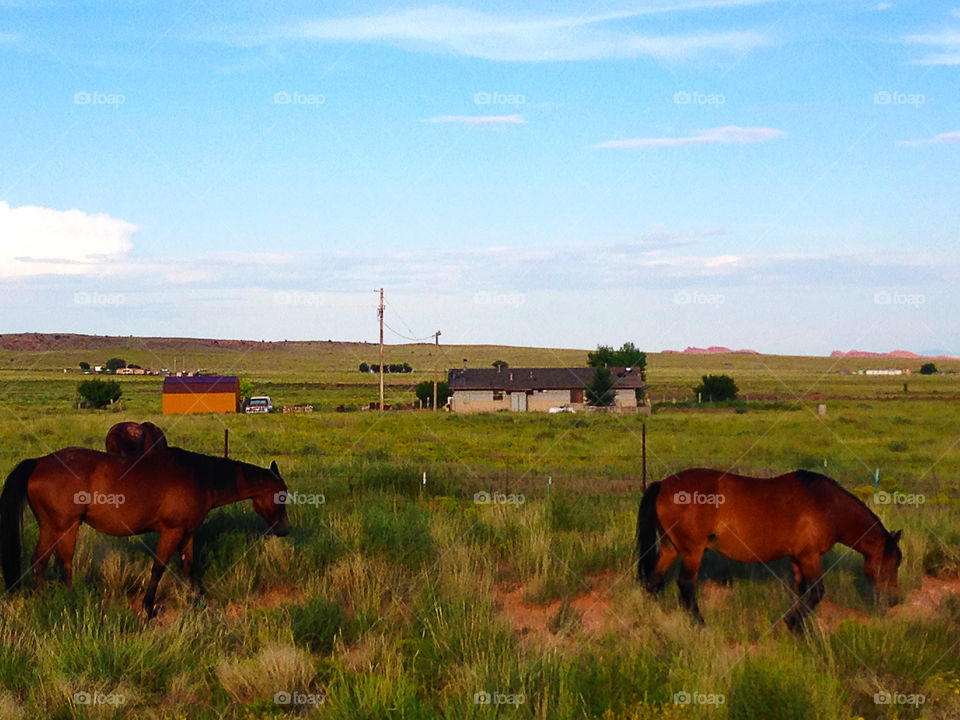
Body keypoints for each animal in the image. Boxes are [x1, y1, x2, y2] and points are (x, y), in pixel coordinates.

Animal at [1, 444, 290, 620]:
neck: (200, 477)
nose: (285, 529)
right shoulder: (172, 531)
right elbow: (158, 568)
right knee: (63, 565)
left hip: (51, 527)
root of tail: (39, 463)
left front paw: (195, 600)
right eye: (282, 495)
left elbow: (189, 566)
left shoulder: (187, 533)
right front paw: (149, 607)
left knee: (40, 562)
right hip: (65, 528)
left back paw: (42, 600)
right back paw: (70, 602)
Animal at [636, 466, 900, 632]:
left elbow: (800, 591)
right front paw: (793, 623)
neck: (828, 507)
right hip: (692, 551)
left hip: (670, 548)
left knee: (653, 582)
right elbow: (816, 592)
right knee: (685, 585)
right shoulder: (810, 557)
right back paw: (700, 623)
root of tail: (664, 484)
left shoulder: (798, 559)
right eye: (894, 563)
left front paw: (799, 627)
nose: (893, 600)